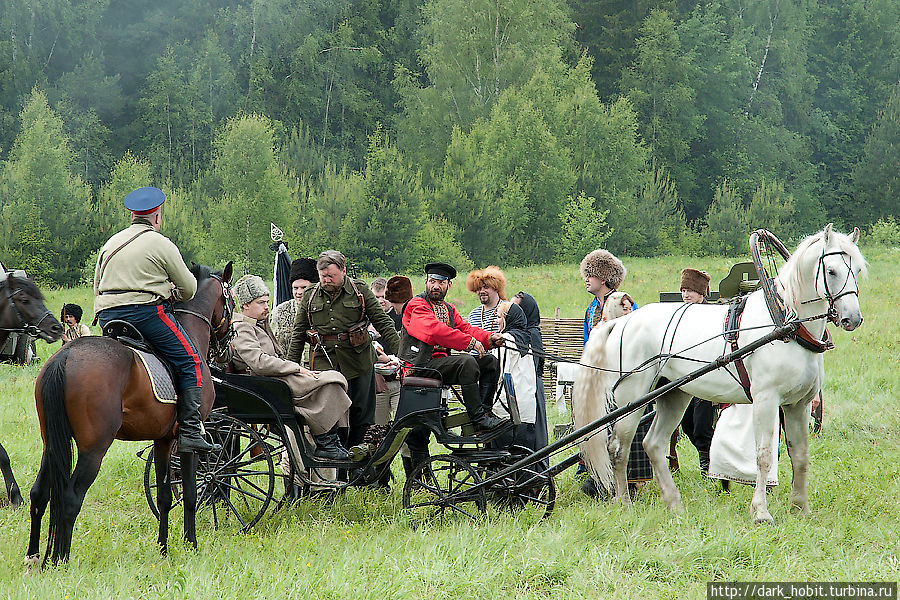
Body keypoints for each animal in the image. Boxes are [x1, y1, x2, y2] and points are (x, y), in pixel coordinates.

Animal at [26, 262, 234, 568]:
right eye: (231, 300)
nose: (228, 345)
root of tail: (66, 355)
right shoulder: (187, 443)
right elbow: (190, 494)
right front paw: (191, 544)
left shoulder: (163, 440)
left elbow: (163, 496)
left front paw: (163, 548)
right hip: (93, 449)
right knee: (70, 497)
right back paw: (61, 559)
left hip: (51, 443)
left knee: (40, 494)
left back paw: (33, 557)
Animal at [576, 225, 864, 524]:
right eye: (831, 270)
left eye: (857, 269)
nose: (852, 319)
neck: (784, 324)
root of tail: (624, 321)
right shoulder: (766, 400)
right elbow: (763, 455)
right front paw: (761, 511)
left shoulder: (799, 404)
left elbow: (800, 455)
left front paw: (800, 507)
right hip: (632, 399)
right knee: (618, 448)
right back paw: (623, 503)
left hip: (673, 394)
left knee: (653, 443)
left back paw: (674, 503)